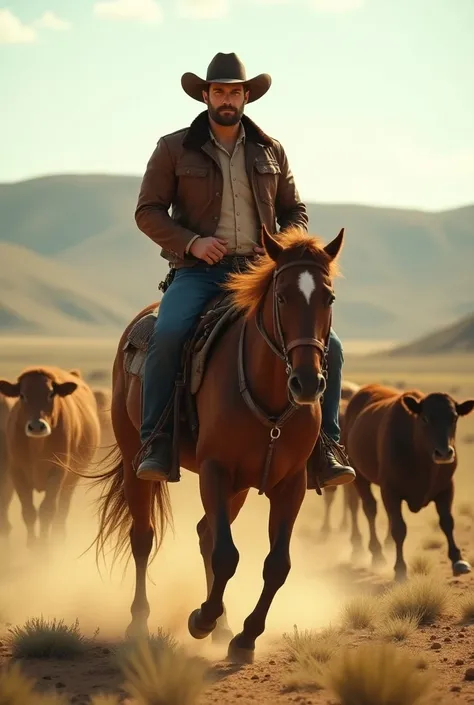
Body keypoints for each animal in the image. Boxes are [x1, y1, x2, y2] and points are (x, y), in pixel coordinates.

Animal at [0, 366, 100, 548]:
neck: (37, 447)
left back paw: (58, 539)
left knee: (62, 509)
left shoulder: (57, 472)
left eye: (51, 394)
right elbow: (29, 511)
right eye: (22, 395)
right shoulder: (16, 473)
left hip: (70, 481)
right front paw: (33, 545)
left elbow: (47, 510)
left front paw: (44, 548)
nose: (37, 426)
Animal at [89, 223, 342, 664]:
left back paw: (223, 624)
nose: (308, 383)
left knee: (206, 532)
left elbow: (276, 564)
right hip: (136, 459)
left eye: (327, 297)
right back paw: (140, 623)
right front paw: (201, 619)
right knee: (144, 536)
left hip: (238, 487)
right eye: (281, 296)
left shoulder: (290, 484)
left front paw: (244, 636)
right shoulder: (214, 469)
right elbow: (227, 556)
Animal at [342, 382, 472, 580]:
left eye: (454, 418)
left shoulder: (446, 487)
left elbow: (447, 522)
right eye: (425, 418)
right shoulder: (390, 490)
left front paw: (458, 560)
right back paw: (374, 553)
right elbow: (399, 528)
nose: (443, 453)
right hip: (359, 476)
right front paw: (400, 568)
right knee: (367, 508)